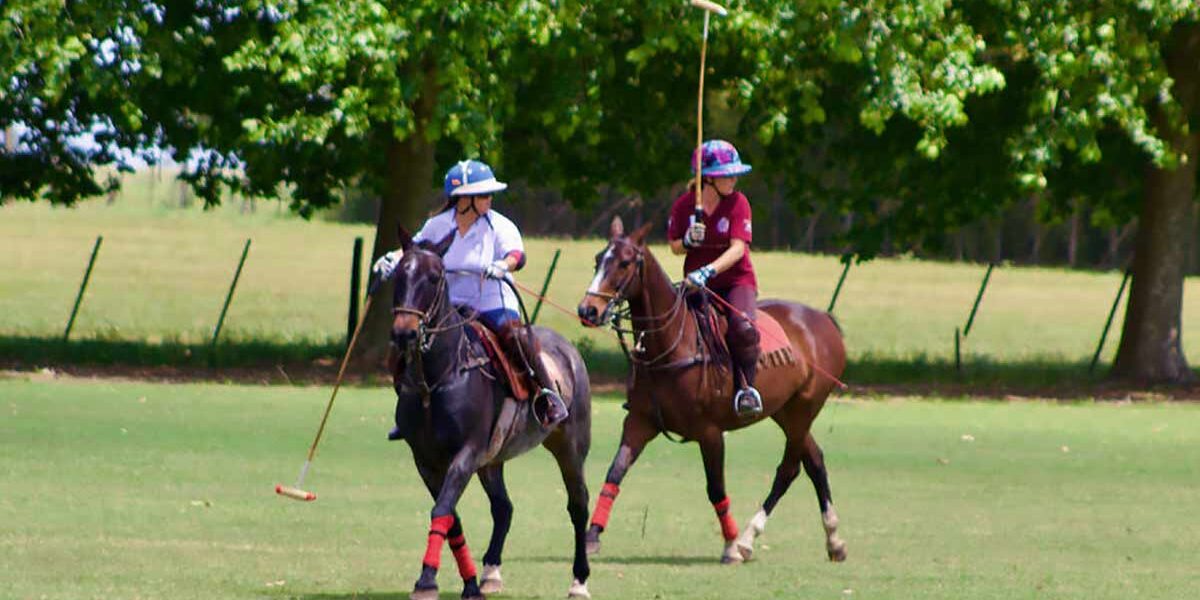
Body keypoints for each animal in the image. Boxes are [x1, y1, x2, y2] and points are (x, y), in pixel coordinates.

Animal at [384, 226, 590, 597]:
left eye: (434, 277)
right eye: (399, 274)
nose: (404, 332)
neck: (438, 377)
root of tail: (568, 347)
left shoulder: (466, 452)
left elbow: (442, 509)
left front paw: (426, 579)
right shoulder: (426, 460)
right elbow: (450, 518)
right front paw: (467, 583)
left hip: (570, 444)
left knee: (578, 504)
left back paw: (579, 581)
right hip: (493, 459)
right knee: (503, 507)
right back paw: (490, 572)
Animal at [576, 218, 849, 564]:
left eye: (625, 262)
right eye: (598, 260)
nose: (588, 310)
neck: (669, 344)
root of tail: (823, 318)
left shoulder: (710, 432)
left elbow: (716, 488)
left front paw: (730, 546)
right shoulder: (639, 421)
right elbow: (615, 473)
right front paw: (591, 536)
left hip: (806, 406)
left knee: (789, 468)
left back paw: (746, 539)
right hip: (785, 411)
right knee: (814, 461)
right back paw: (833, 540)